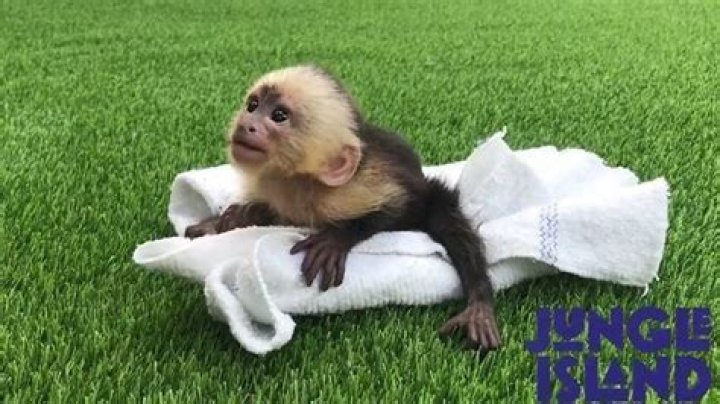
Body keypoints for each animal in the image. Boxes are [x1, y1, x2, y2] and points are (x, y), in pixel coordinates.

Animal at [184, 65, 501, 351]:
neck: (298, 181)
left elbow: (404, 207)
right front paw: (236, 217)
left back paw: (479, 304)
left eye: (279, 116)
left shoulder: (350, 188)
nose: (246, 124)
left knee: (445, 216)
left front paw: (336, 239)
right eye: (253, 105)